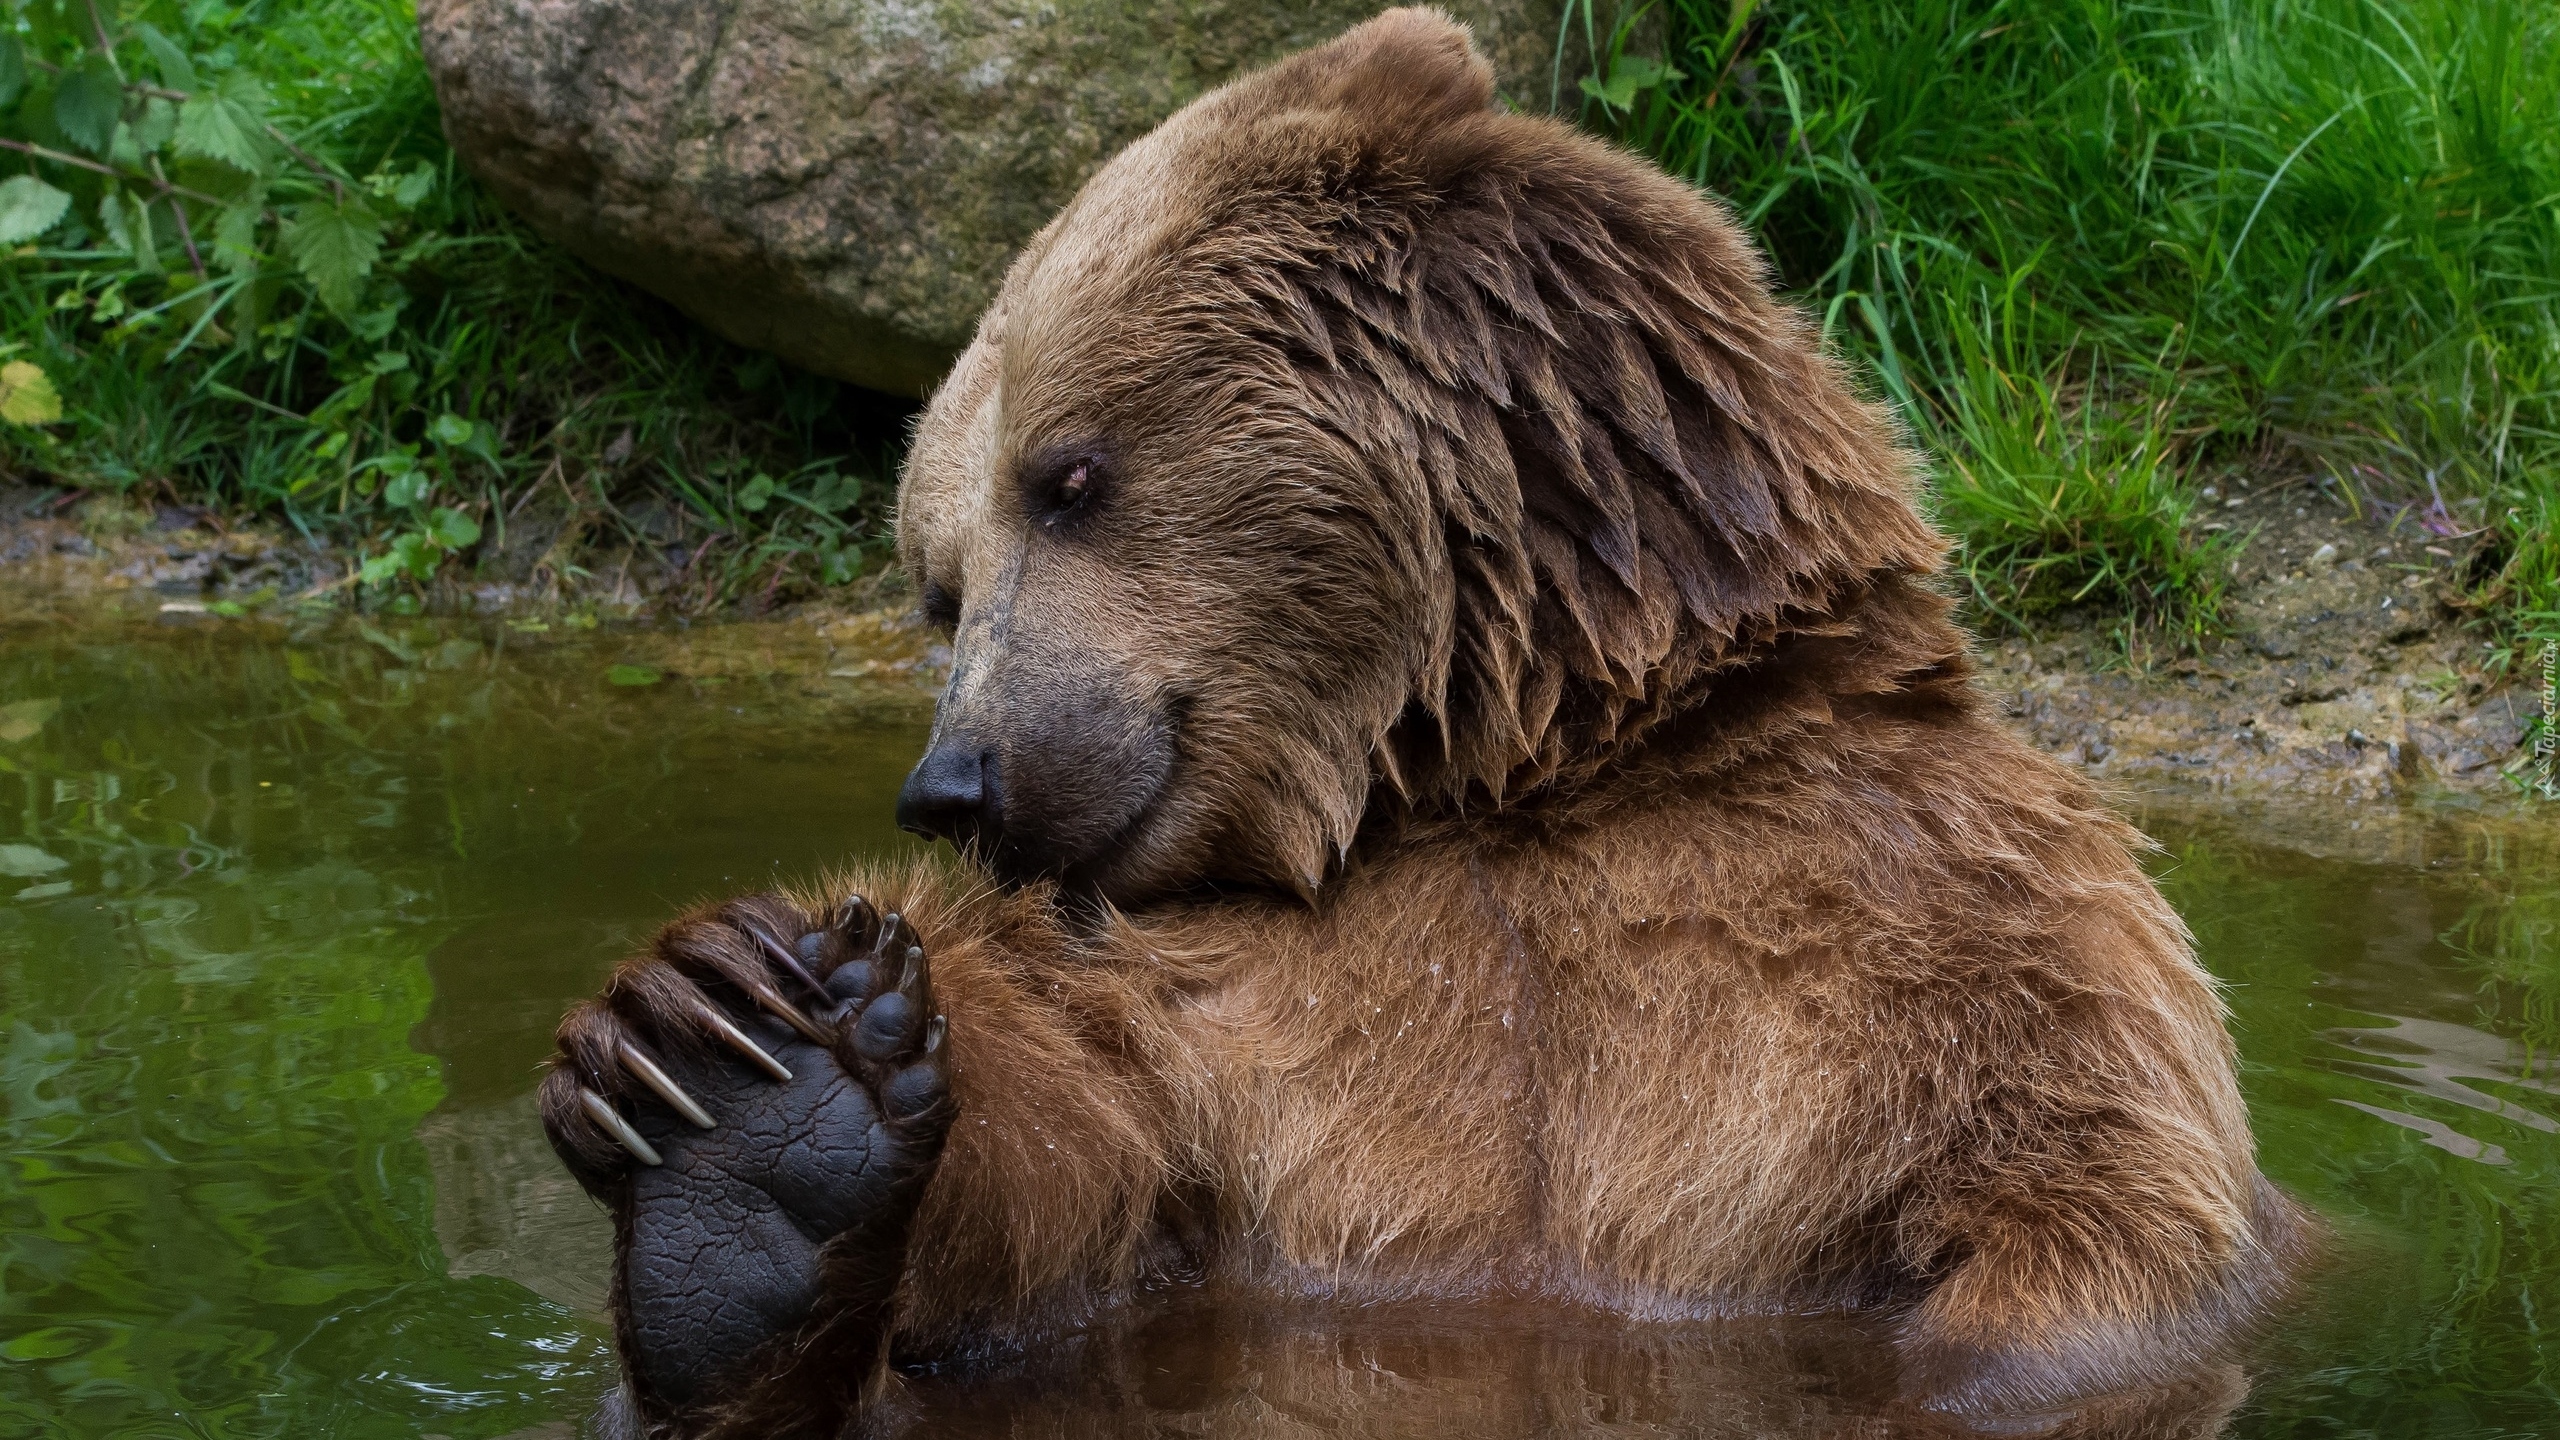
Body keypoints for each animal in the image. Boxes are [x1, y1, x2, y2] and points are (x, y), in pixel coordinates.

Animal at [535, 14, 2304, 1434]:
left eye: (1071, 476)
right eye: (937, 583)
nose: (955, 784)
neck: (1510, 777)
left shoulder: (1952, 940)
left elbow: (2077, 1225)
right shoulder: (1241, 1035)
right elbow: (1076, 1169)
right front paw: (749, 1075)